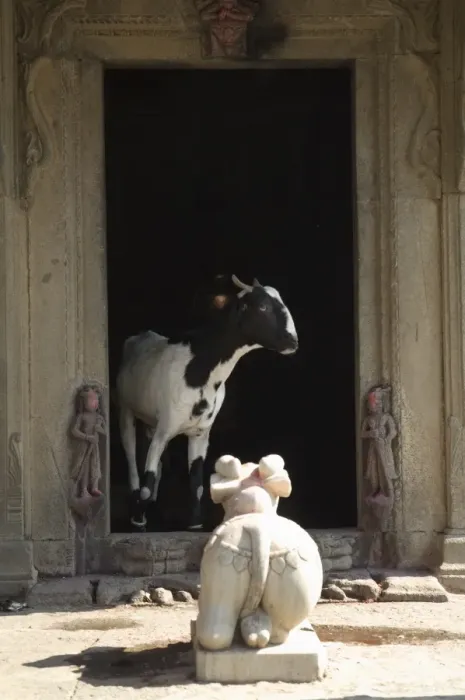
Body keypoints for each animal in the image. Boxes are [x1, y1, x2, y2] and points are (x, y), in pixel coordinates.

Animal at [116, 274, 299, 530]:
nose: (292, 341)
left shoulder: (200, 433)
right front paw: (138, 518)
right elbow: (147, 481)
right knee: (132, 461)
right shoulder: (166, 426)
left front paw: (194, 523)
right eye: (263, 306)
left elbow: (196, 481)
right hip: (126, 410)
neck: (198, 366)